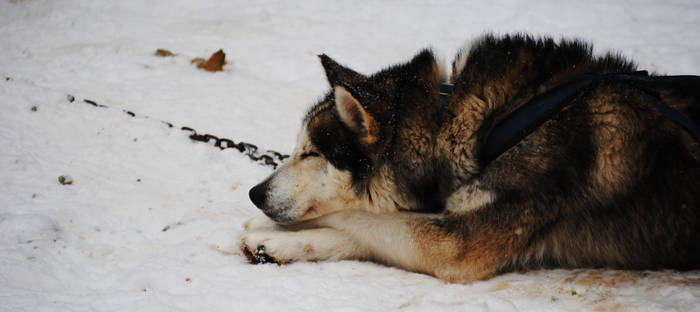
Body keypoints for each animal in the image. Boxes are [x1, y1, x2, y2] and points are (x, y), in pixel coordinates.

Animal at [242, 34, 700, 282]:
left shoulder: (459, 244)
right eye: (298, 148)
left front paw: (274, 228)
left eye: (311, 153)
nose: (255, 194)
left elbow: (363, 216)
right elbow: (366, 229)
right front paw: (277, 244)